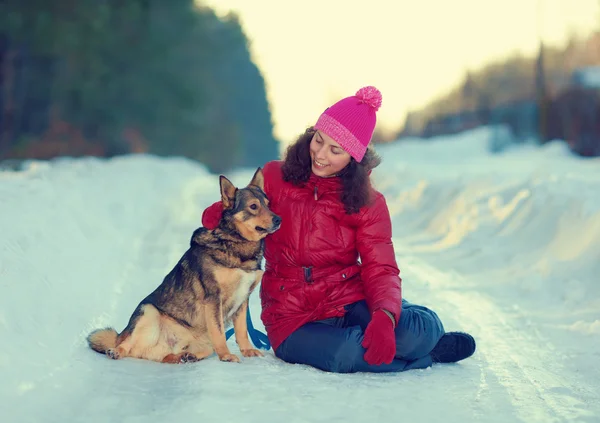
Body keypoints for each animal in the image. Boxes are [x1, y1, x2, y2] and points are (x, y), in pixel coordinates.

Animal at [86, 169, 282, 364]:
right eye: (253, 206)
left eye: (268, 204)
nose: (279, 219)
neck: (235, 242)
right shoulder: (213, 297)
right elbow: (219, 332)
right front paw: (226, 355)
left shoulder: (243, 299)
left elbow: (242, 331)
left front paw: (248, 351)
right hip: (148, 312)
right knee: (127, 345)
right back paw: (116, 351)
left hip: (196, 343)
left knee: (166, 356)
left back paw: (185, 356)